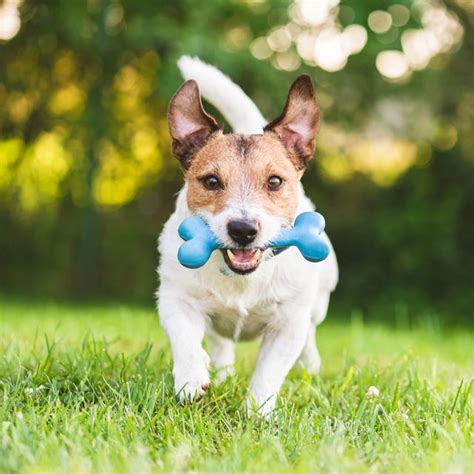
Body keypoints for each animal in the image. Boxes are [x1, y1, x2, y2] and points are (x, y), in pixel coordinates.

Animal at [158, 56, 336, 414]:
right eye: (211, 181)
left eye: (275, 182)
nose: (243, 230)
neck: (242, 278)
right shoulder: (174, 298)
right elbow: (185, 339)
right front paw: (190, 379)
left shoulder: (288, 323)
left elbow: (269, 370)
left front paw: (259, 410)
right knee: (219, 342)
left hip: (318, 302)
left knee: (310, 336)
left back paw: (310, 367)